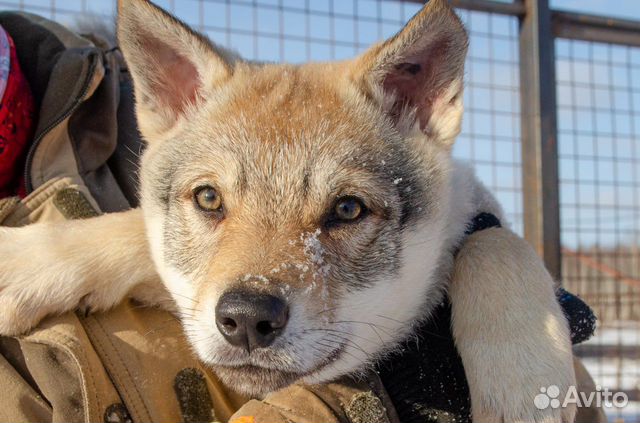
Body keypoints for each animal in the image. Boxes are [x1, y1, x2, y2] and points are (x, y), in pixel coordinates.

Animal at [0, 1, 576, 422]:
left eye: (347, 209)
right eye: (208, 199)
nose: (247, 319)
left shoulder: (478, 214)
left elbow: (495, 243)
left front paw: (525, 384)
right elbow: (131, 231)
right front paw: (26, 263)